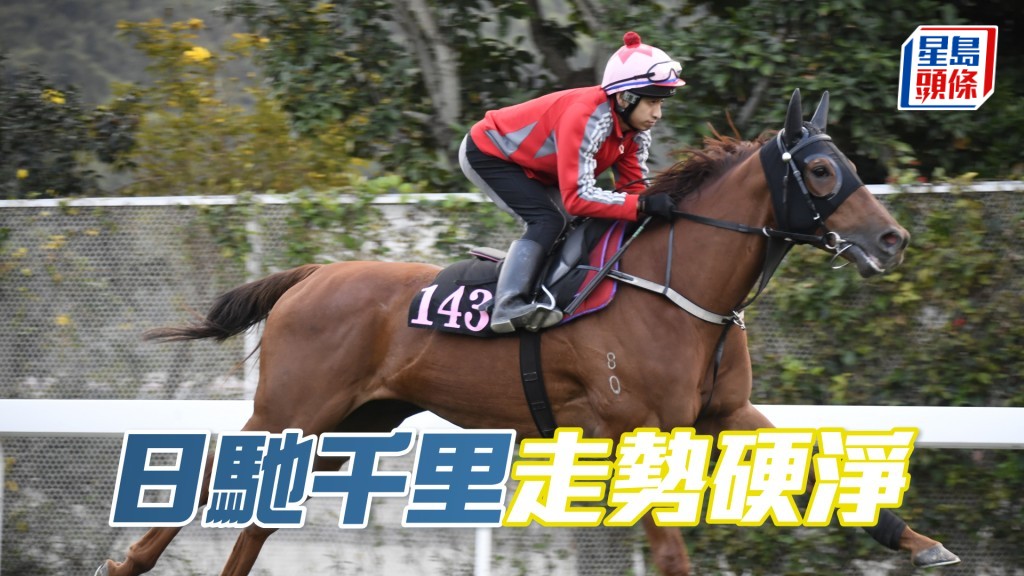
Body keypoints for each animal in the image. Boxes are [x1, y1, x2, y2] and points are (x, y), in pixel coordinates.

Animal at [98, 90, 959, 576]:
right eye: (819, 171)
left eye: (845, 162)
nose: (893, 241)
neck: (677, 290)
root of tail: (311, 276)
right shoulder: (636, 429)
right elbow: (671, 551)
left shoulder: (722, 414)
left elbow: (819, 467)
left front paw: (920, 542)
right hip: (295, 409)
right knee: (218, 476)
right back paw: (127, 564)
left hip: (352, 424)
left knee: (256, 516)